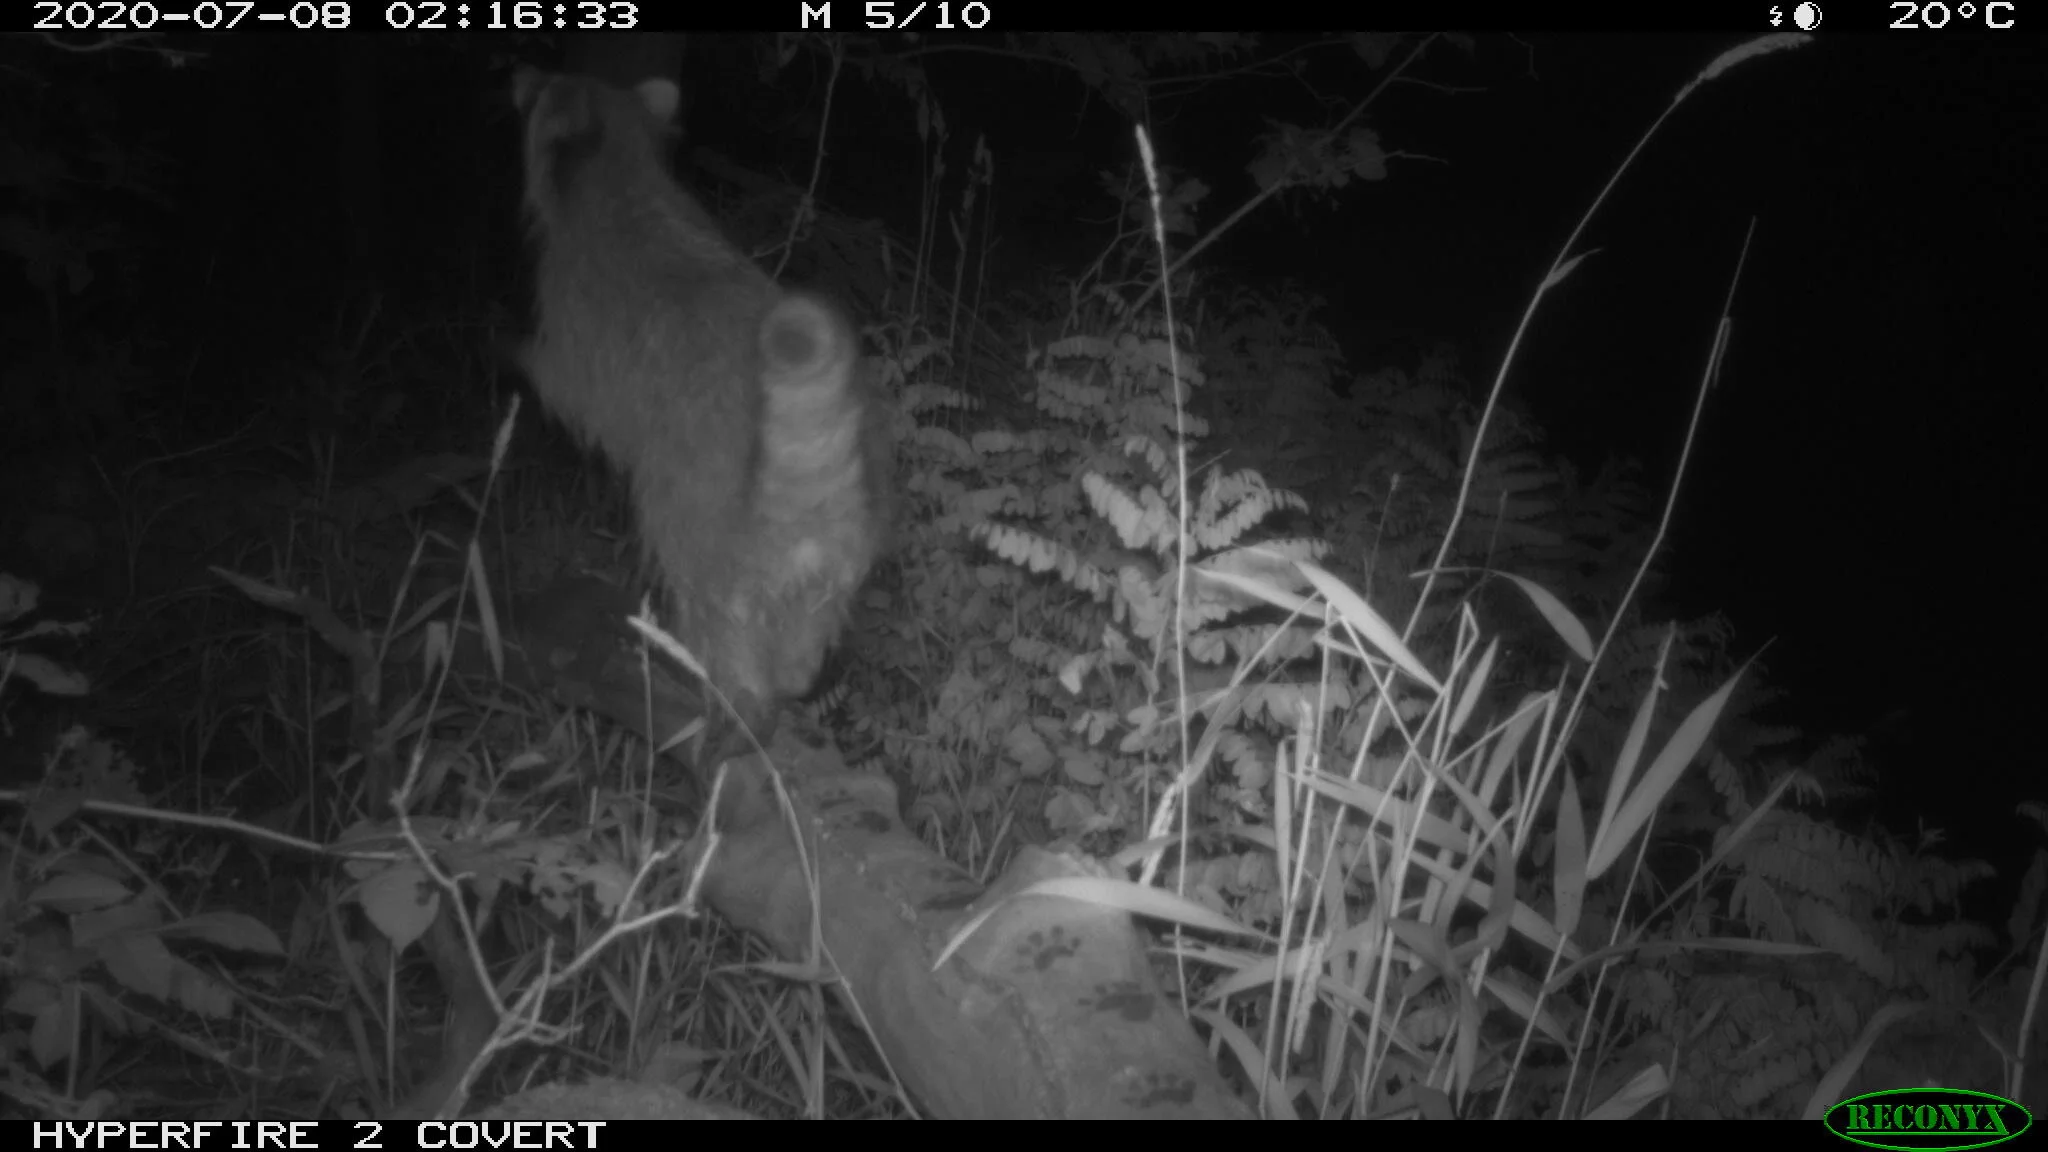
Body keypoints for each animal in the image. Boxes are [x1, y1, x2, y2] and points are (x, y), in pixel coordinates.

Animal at [513, 68, 887, 749]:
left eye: (545, 87)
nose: (519, 77)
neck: (621, 173)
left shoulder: (575, 326)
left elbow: (563, 385)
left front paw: (516, 355)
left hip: (697, 521)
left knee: (714, 617)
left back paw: (722, 697)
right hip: (842, 556)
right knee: (802, 648)